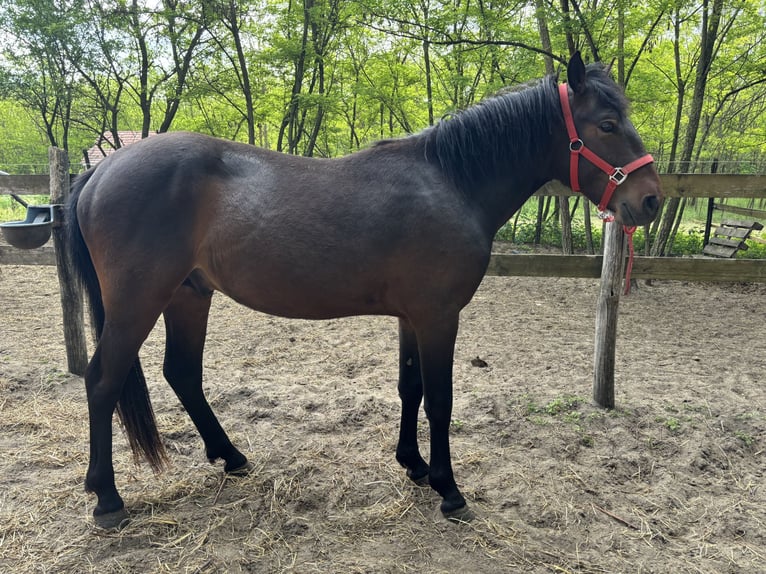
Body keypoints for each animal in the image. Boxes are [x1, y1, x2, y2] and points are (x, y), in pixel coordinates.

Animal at [66, 52, 661, 529]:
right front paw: (449, 489)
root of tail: (102, 169)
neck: (451, 182)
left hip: (189, 296)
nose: (650, 199)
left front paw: (414, 466)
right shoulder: (439, 315)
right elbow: (440, 399)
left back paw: (231, 457)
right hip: (138, 303)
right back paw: (108, 499)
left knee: (182, 374)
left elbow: (410, 389)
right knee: (103, 381)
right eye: (608, 123)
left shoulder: (411, 318)